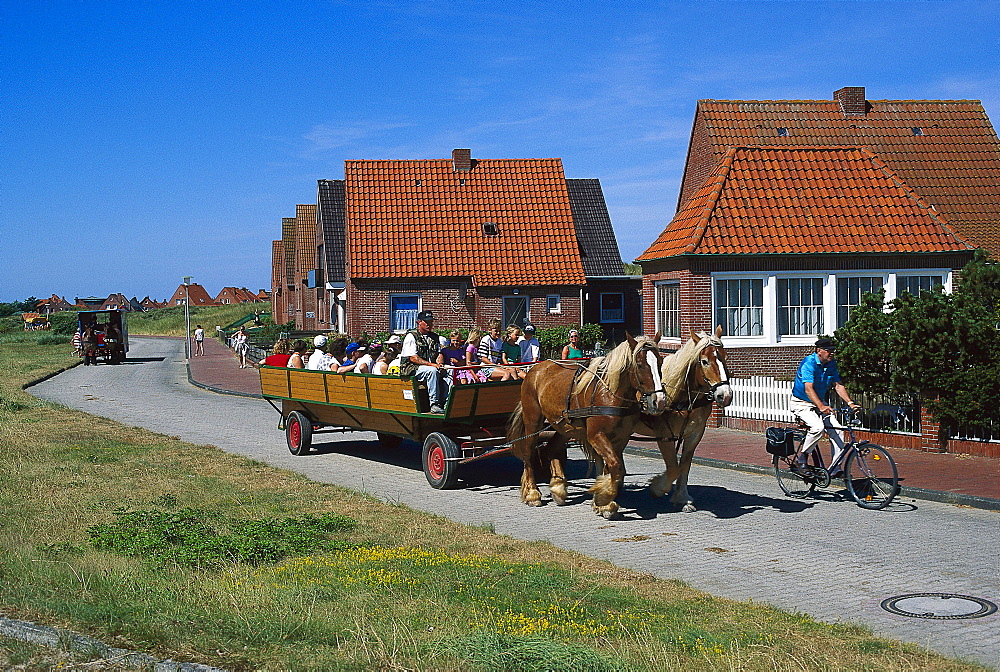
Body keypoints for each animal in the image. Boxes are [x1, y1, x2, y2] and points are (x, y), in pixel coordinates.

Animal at [512, 334, 668, 516]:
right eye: (640, 364)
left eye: (660, 362)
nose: (659, 401)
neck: (610, 394)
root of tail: (534, 369)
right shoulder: (595, 435)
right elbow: (615, 465)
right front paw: (604, 498)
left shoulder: (621, 437)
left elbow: (612, 467)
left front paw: (603, 501)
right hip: (533, 420)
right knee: (528, 453)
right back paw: (532, 493)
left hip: (565, 427)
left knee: (551, 449)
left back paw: (558, 488)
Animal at [636, 326, 732, 510]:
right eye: (704, 361)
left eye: (724, 357)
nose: (725, 395)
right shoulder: (664, 434)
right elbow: (673, 468)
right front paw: (657, 487)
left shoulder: (694, 434)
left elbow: (684, 466)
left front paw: (681, 498)